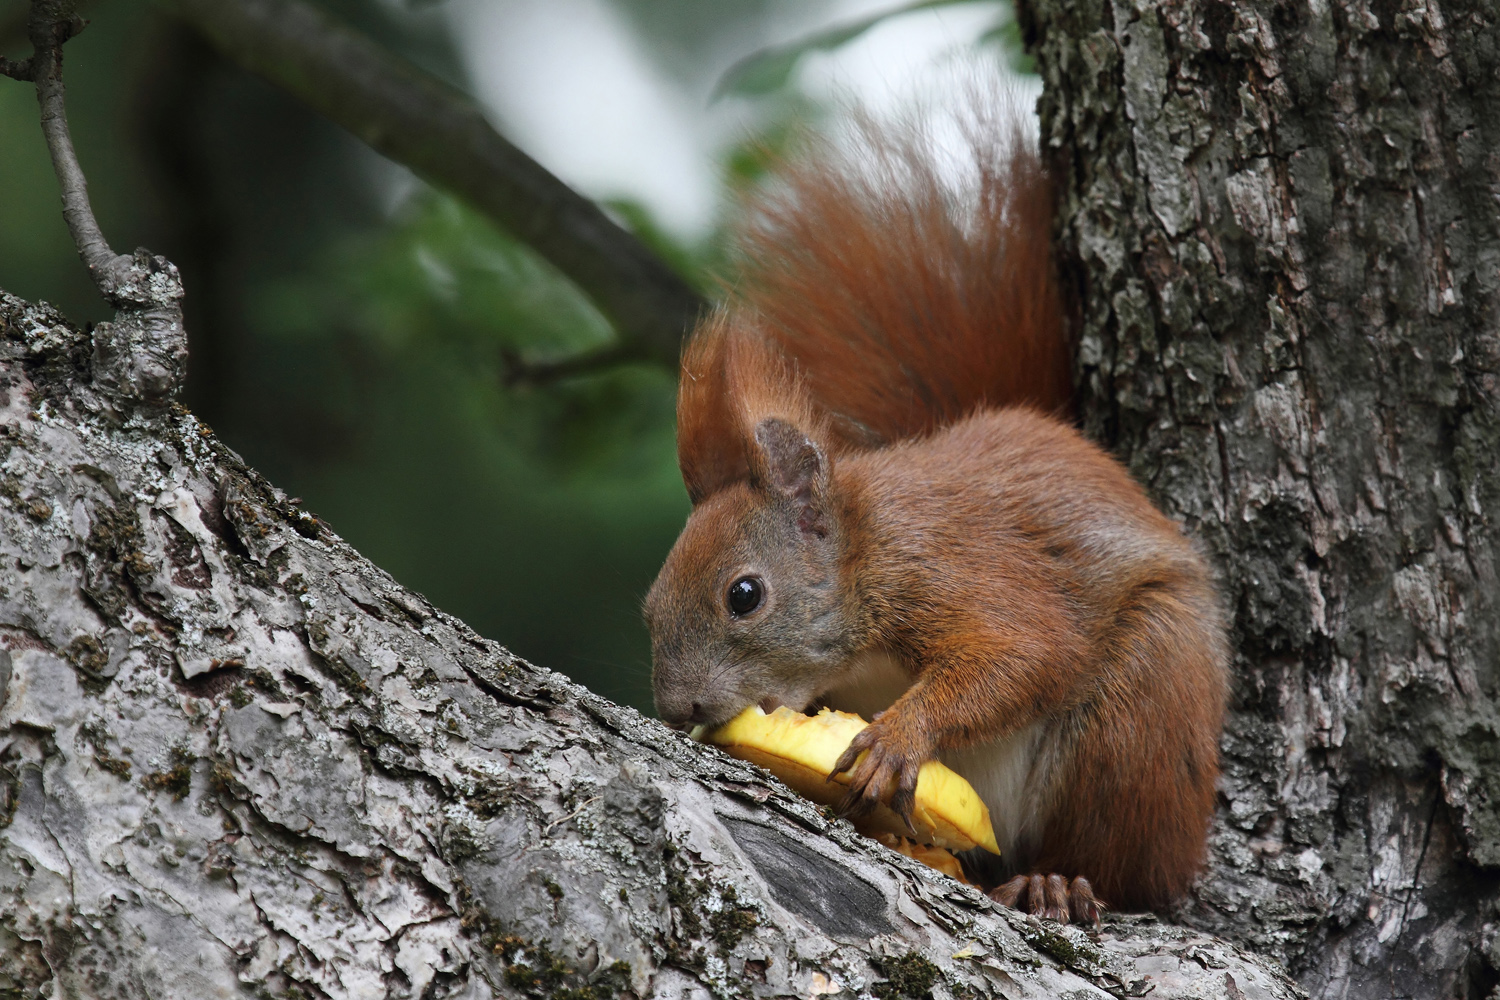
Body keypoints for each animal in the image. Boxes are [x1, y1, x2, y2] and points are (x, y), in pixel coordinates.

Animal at [639, 107, 1224, 923]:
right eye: (649, 606)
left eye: (744, 596)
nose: (675, 706)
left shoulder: (945, 563)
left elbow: (1025, 652)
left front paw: (899, 738)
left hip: (1143, 712)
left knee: (1125, 861)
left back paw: (1058, 880)